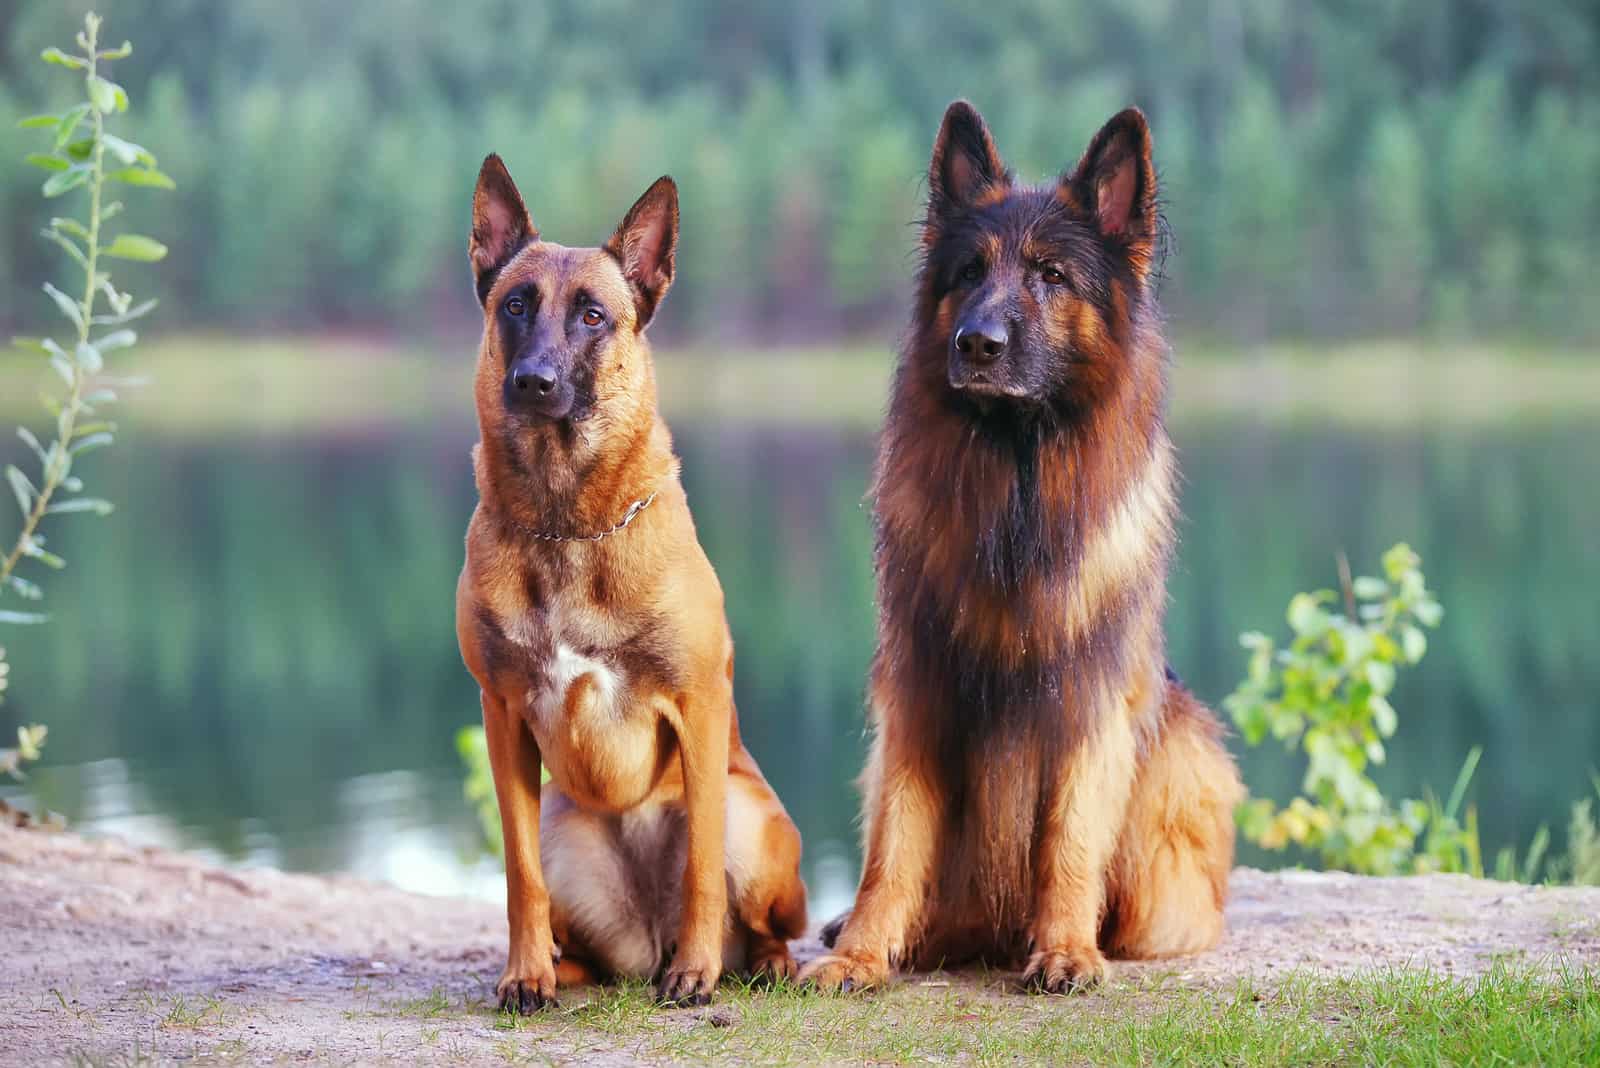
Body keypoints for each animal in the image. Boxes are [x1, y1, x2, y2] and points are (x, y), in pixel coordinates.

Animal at [454, 151, 806, 1010]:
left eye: (593, 316)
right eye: (515, 305)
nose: (535, 383)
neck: (566, 525)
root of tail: (645, 943)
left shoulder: (699, 704)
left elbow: (703, 863)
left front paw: (697, 973)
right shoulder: (502, 714)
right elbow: (517, 877)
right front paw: (524, 974)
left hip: (758, 826)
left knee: (764, 922)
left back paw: (751, 963)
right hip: (561, 824)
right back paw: (561, 967)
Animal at [806, 102, 1241, 991]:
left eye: (1052, 276)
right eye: (970, 272)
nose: (977, 343)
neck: (1015, 491)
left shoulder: (1087, 703)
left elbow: (1068, 838)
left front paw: (1067, 946)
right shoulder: (919, 693)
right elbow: (892, 847)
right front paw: (862, 951)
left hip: (1183, 750)